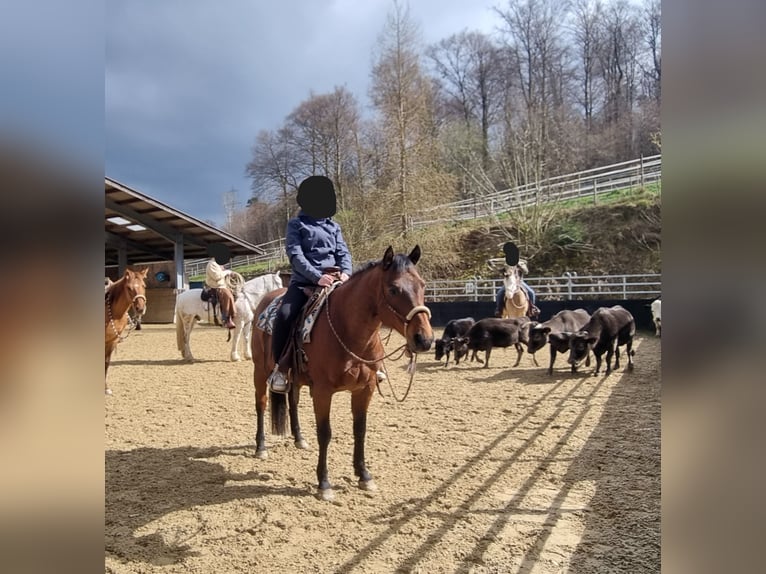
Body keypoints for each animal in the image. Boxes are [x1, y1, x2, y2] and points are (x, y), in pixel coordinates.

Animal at [251, 246, 434, 501]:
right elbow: (325, 433)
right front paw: (324, 483)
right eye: (393, 289)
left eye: (423, 285)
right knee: (261, 404)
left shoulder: (364, 390)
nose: (424, 339)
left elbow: (360, 430)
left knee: (292, 402)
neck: (347, 330)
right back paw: (261, 447)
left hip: (294, 378)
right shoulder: (322, 392)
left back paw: (299, 439)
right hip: (260, 370)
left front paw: (364, 475)